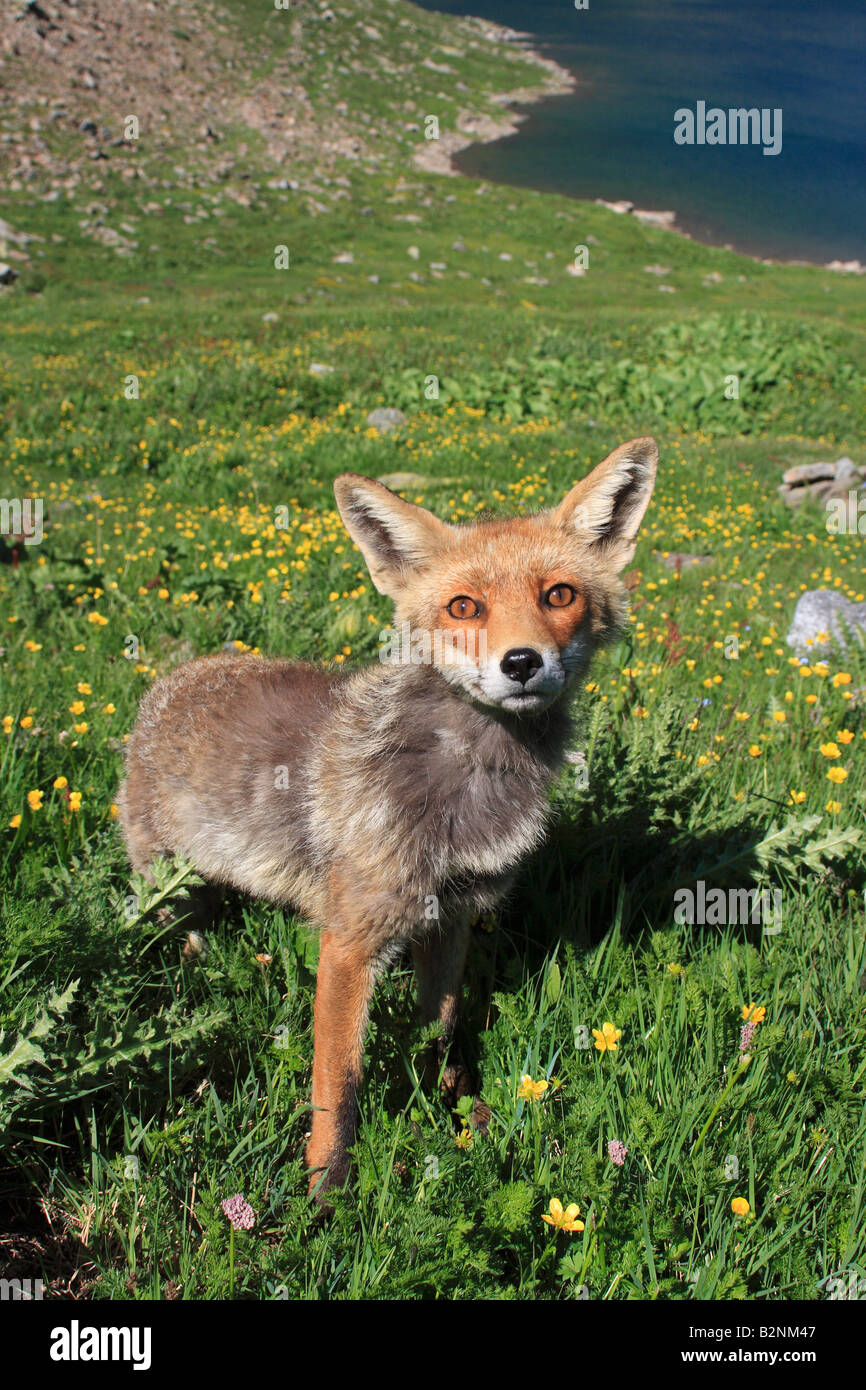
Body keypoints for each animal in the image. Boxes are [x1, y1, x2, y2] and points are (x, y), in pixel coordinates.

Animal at [116, 439, 656, 1200]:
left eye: (559, 595)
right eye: (464, 606)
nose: (521, 662)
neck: (465, 783)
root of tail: (170, 682)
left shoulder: (453, 915)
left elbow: (441, 1029)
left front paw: (452, 1111)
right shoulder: (350, 942)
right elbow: (337, 1088)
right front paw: (323, 1192)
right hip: (166, 884)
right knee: (181, 933)